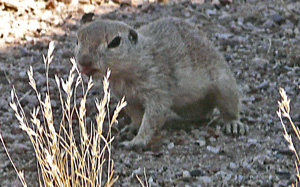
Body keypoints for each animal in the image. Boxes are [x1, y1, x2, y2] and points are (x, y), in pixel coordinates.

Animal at [74, 17, 246, 148]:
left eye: (115, 42)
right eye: (77, 40)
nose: (84, 61)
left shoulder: (157, 87)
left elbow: (153, 116)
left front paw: (136, 141)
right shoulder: (126, 97)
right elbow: (136, 116)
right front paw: (132, 127)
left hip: (225, 86)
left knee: (230, 108)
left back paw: (233, 124)